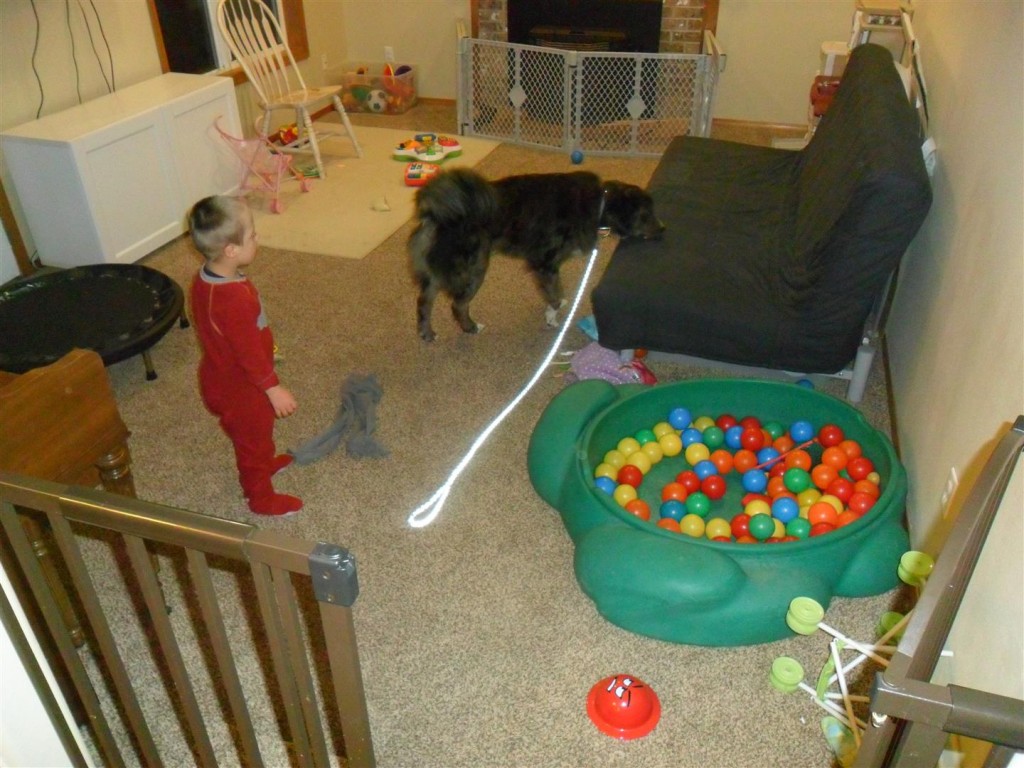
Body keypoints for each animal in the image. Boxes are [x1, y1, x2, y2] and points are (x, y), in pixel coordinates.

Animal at [407, 167, 663, 342]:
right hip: (475, 267)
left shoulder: (549, 267)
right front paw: (552, 316)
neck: (599, 203)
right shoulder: (544, 262)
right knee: (458, 304)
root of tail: (435, 215)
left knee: (424, 301)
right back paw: (471, 328)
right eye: (646, 215)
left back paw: (427, 333)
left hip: (440, 274)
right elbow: (556, 295)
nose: (663, 230)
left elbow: (556, 291)